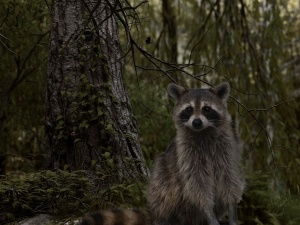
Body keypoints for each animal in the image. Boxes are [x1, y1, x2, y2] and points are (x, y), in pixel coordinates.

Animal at [147, 82, 244, 225]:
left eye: (207, 108)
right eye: (189, 109)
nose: (196, 122)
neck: (202, 132)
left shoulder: (226, 149)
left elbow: (229, 179)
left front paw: (232, 209)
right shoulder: (186, 153)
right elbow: (198, 185)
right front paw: (209, 214)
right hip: (162, 173)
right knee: (163, 190)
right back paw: (164, 217)